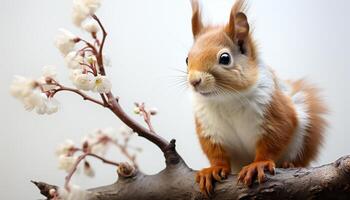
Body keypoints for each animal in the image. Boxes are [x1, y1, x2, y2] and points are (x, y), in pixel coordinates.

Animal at [187, 0, 326, 195]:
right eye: (187, 59)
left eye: (225, 58)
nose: (194, 81)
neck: (226, 98)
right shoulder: (209, 127)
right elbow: (216, 152)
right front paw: (214, 169)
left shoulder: (274, 112)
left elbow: (273, 140)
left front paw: (258, 164)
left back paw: (289, 165)